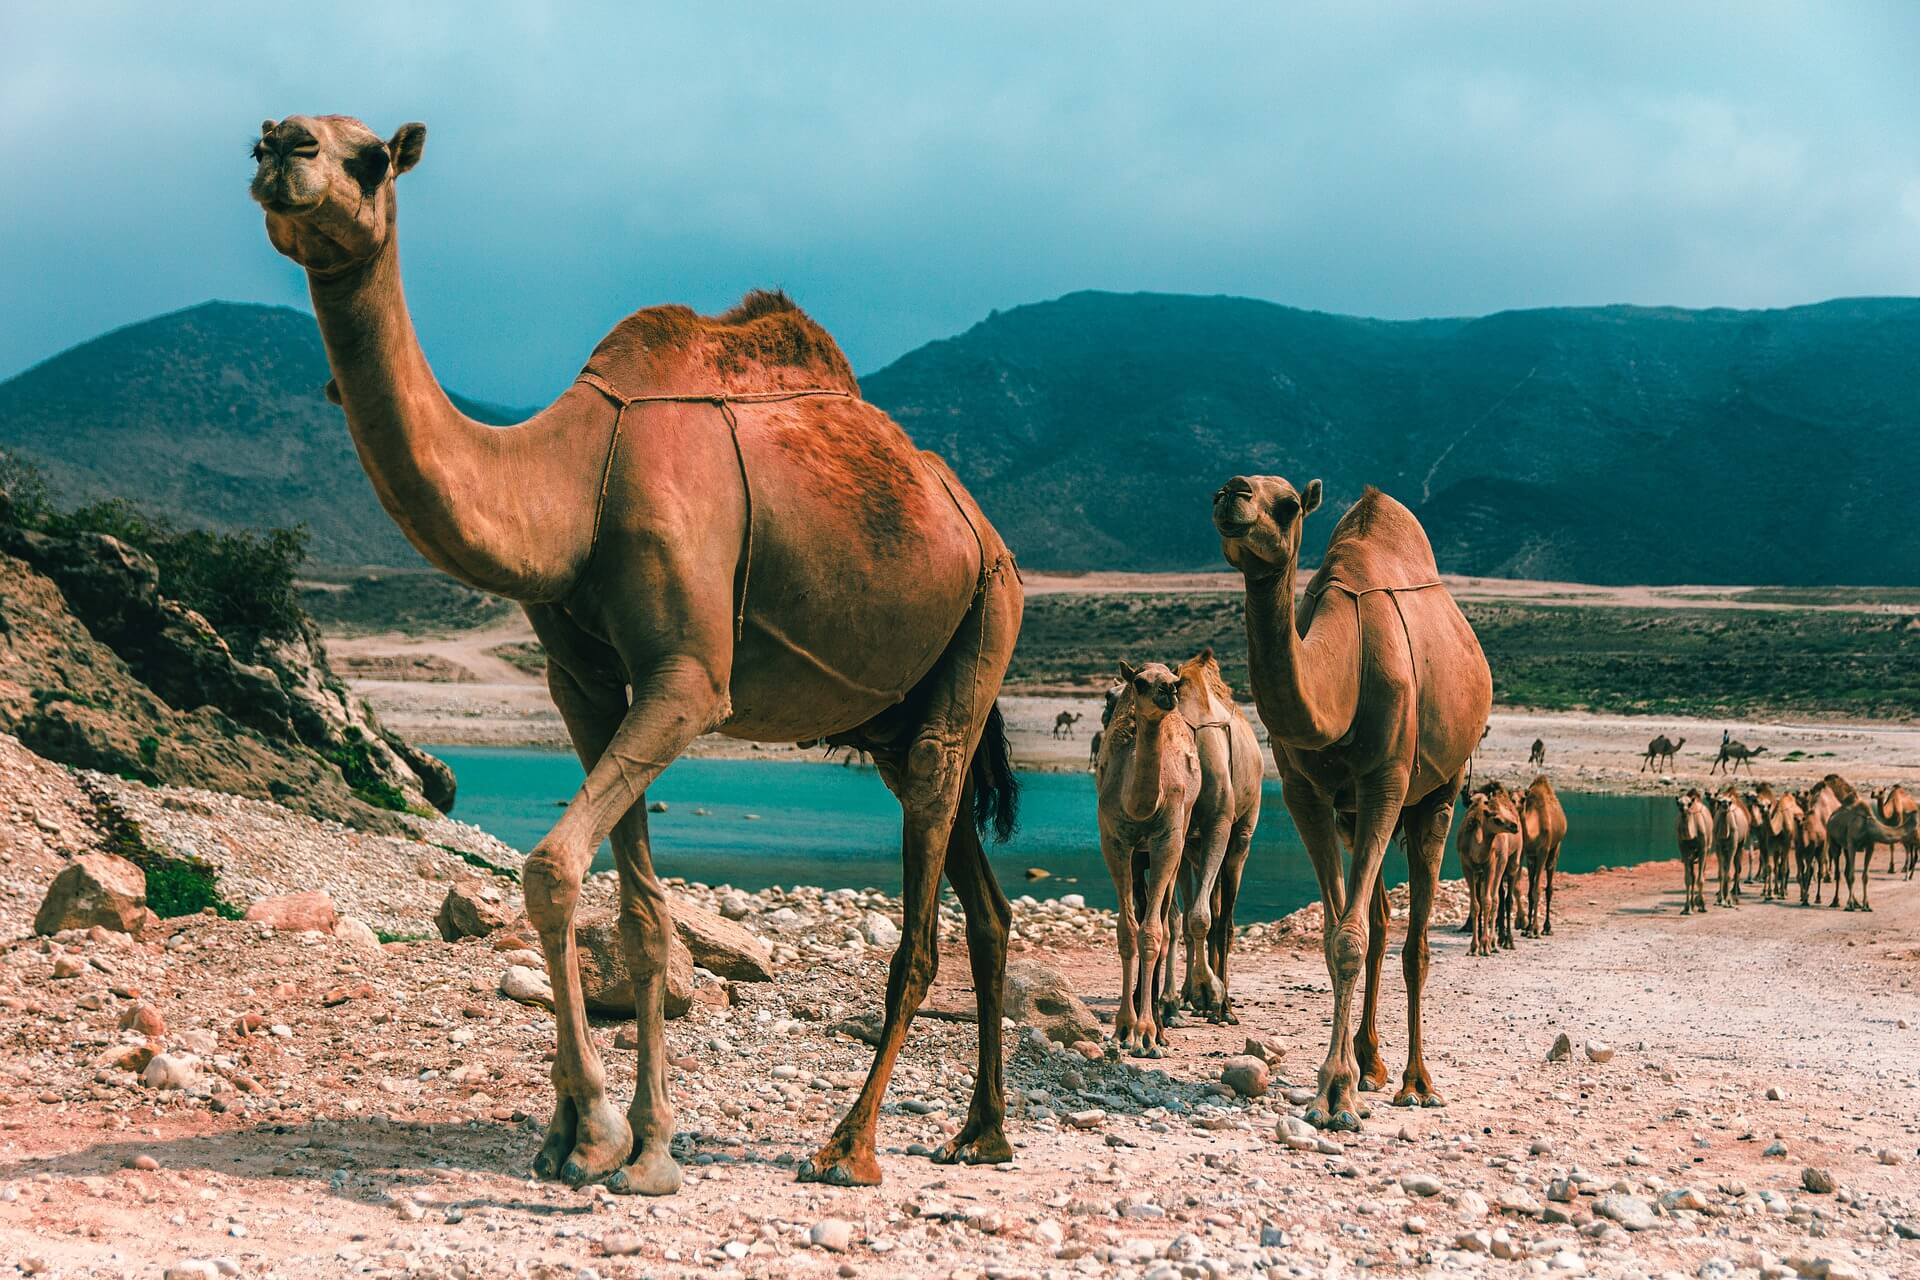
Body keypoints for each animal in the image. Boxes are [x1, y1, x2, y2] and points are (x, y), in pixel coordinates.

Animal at [259, 115, 1036, 1197]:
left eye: (369, 158)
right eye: (270, 135)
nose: (281, 146)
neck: (576, 480)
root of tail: (976, 524)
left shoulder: (689, 680)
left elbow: (552, 866)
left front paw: (592, 1134)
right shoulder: (583, 681)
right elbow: (638, 914)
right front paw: (635, 1141)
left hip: (988, 614)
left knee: (925, 909)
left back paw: (851, 1146)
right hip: (897, 707)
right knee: (985, 897)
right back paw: (983, 1131)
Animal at [1205, 474, 1489, 1128]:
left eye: (1287, 506)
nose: (1233, 492)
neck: (1343, 671)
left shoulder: (1384, 780)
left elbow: (1349, 939)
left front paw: (1335, 1094)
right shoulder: (1306, 794)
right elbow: (1338, 931)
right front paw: (1340, 1080)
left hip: (1436, 792)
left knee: (1414, 941)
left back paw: (1415, 1081)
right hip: (1355, 815)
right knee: (1381, 924)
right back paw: (1371, 1062)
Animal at [1459, 786, 1520, 955]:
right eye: (1497, 819)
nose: (1515, 826)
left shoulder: (1490, 864)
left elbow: (1488, 901)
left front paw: (1485, 945)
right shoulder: (1467, 866)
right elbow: (1475, 905)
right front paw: (1474, 946)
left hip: (1508, 861)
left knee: (1498, 899)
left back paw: (1497, 943)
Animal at [1520, 771, 1566, 940]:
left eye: (1522, 799)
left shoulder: (1542, 852)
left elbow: (1537, 890)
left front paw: (1534, 930)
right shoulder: (1528, 855)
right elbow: (1529, 891)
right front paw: (1527, 928)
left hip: (1555, 847)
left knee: (1549, 887)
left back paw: (1547, 928)